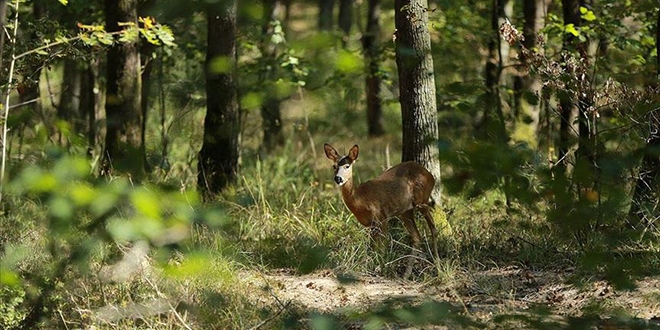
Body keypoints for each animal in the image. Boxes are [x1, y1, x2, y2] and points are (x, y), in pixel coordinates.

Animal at [324, 143, 438, 278]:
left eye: (347, 166)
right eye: (334, 166)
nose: (338, 179)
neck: (360, 199)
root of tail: (430, 175)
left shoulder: (382, 216)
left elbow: (382, 245)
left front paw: (382, 269)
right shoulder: (371, 224)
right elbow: (372, 247)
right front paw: (369, 267)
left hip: (422, 200)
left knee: (433, 228)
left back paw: (437, 265)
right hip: (406, 211)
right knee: (417, 237)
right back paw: (406, 275)